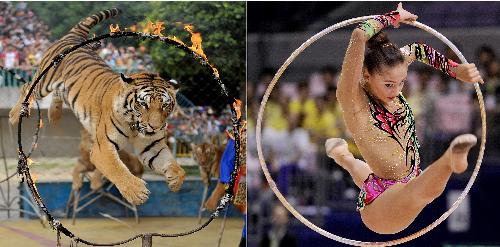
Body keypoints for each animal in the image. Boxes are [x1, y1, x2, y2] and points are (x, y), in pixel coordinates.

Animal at [8, 8, 186, 205]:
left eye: (165, 105)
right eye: (143, 104)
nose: (155, 127)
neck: (134, 125)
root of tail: (72, 37)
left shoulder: (152, 145)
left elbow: (174, 165)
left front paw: (175, 181)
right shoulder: (103, 149)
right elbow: (117, 169)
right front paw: (137, 192)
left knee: (57, 94)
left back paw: (54, 115)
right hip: (44, 82)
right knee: (27, 87)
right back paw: (14, 115)